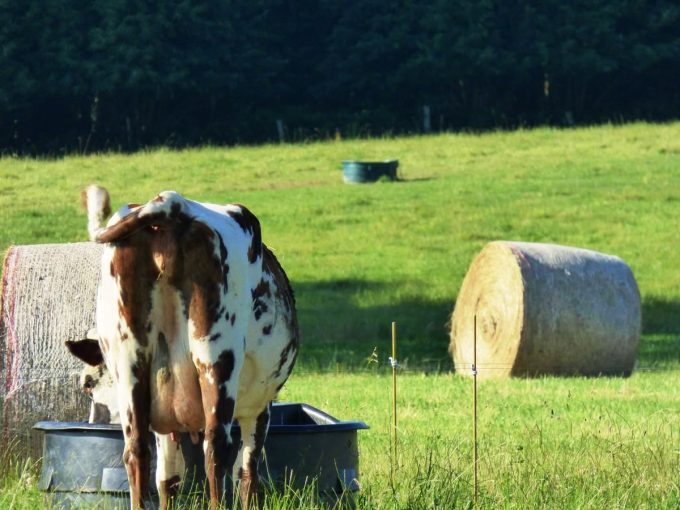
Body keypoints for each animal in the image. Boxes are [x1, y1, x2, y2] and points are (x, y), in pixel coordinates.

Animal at [67, 185, 298, 510]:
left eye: (88, 385)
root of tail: (171, 203)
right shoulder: (258, 407)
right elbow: (248, 472)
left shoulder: (166, 421)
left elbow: (168, 479)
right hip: (217, 358)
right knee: (216, 449)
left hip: (131, 363)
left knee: (137, 451)